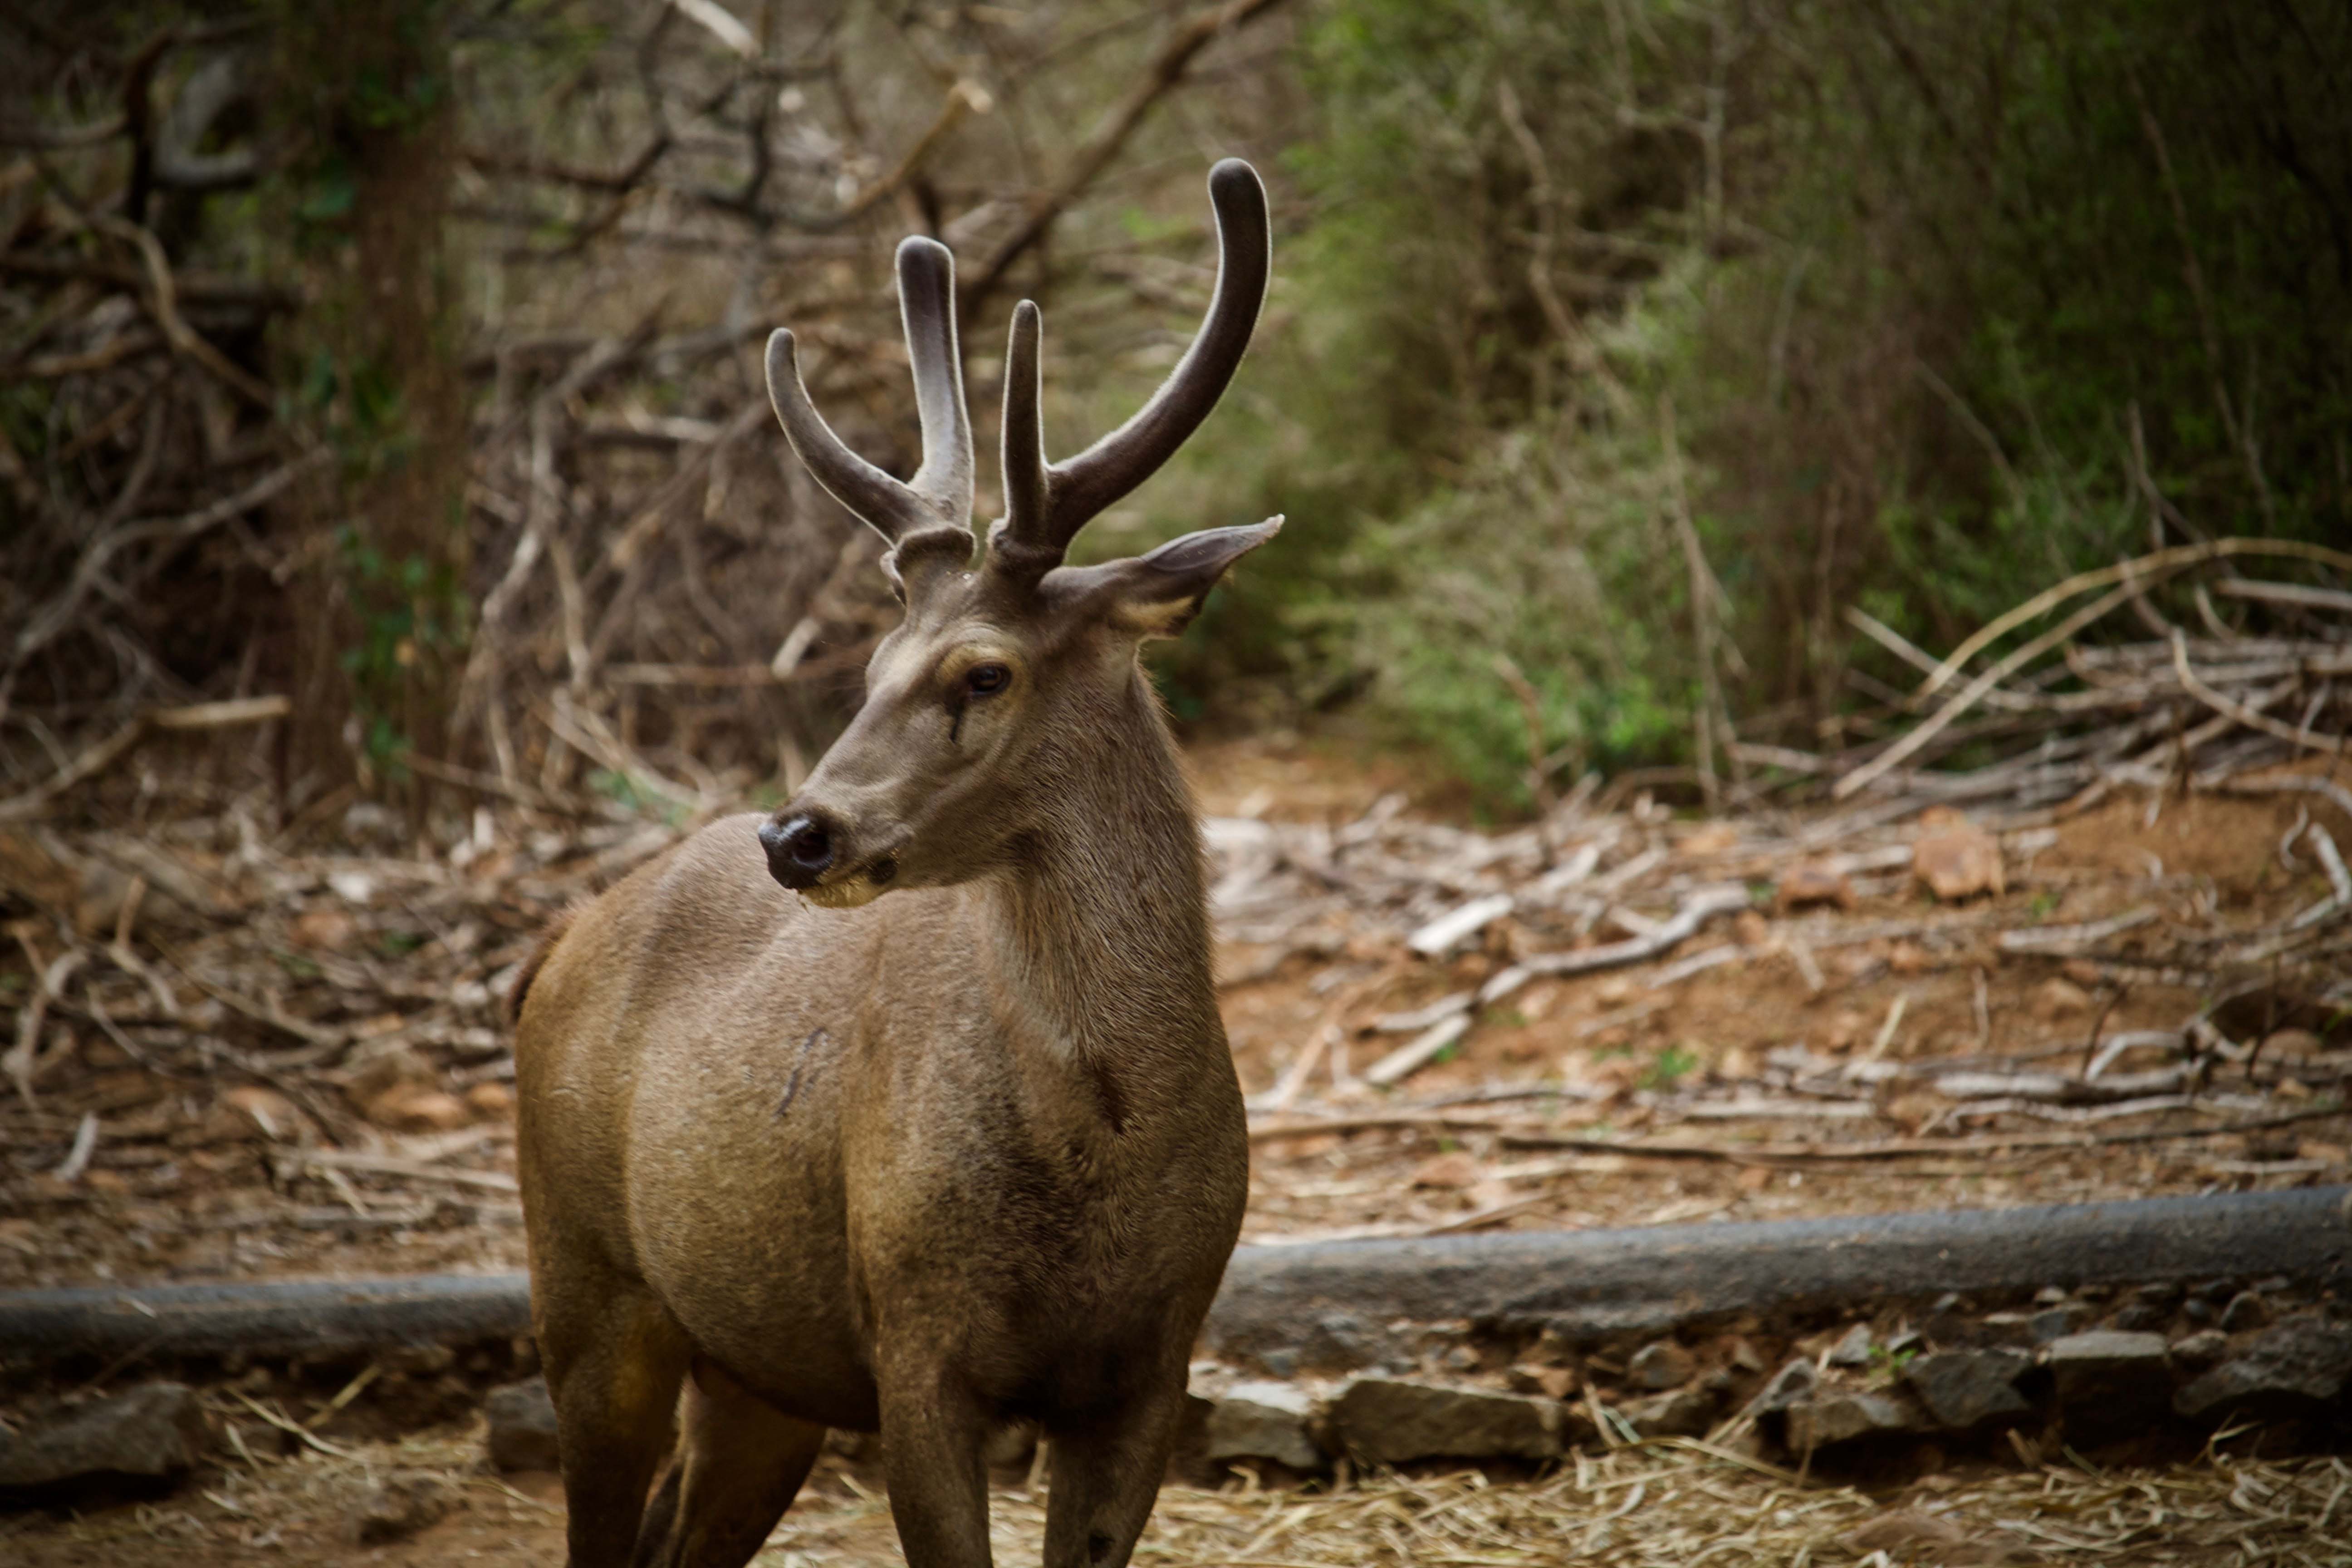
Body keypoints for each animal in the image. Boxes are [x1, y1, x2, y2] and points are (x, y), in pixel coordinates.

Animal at [511, 158, 1275, 1568]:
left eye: (984, 672)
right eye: (868, 665)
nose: (797, 831)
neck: (1101, 1162)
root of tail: (553, 943)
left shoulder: (1154, 1365)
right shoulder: (918, 1344)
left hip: (758, 1370)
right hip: (585, 1282)